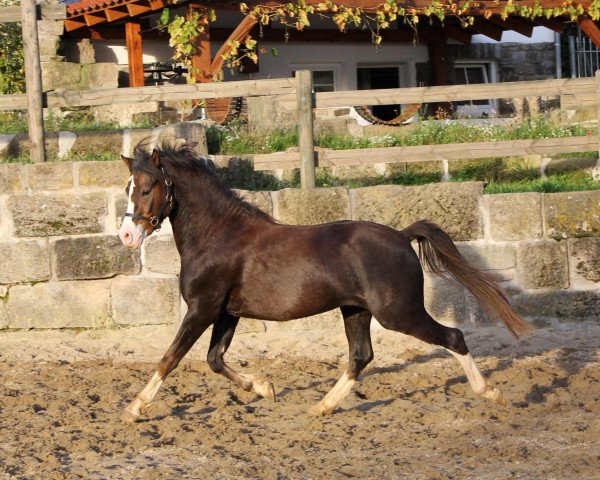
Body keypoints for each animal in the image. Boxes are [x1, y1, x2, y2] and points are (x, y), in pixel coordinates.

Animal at [117, 142, 528, 420]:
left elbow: (170, 357)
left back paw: (492, 393)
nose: (127, 236)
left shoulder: (203, 308)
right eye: (128, 188)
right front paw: (265, 388)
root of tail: (401, 235)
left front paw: (135, 408)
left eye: (148, 188)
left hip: (398, 313)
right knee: (361, 356)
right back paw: (321, 407)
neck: (219, 234)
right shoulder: (226, 311)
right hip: (356, 310)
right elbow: (214, 360)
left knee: (453, 337)